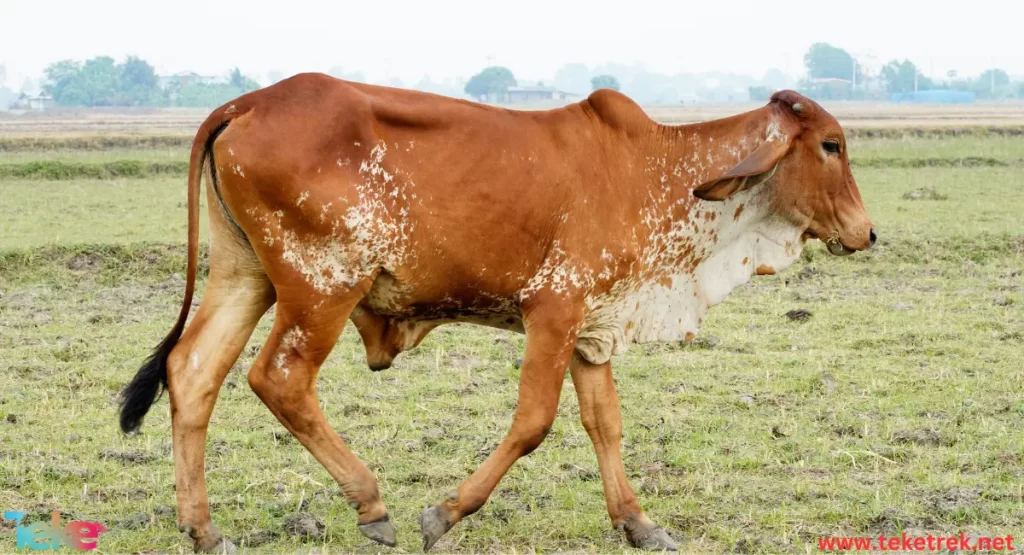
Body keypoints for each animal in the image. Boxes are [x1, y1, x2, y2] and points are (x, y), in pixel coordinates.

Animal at [117, 72, 872, 552]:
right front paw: (443, 513)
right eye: (831, 144)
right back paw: (371, 502)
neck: (657, 170)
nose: (866, 233)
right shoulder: (554, 311)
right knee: (279, 379)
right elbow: (534, 422)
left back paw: (203, 528)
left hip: (246, 277)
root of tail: (245, 104)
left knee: (193, 373)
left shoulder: (591, 328)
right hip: (322, 287)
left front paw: (637, 522)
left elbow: (605, 425)